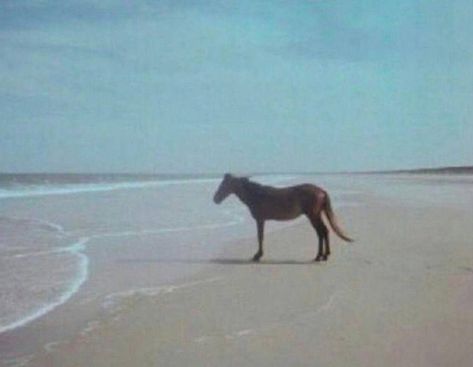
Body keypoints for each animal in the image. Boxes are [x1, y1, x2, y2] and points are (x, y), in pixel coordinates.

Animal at [212, 175, 352, 264]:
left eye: (224, 185)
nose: (215, 199)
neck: (256, 194)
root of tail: (321, 191)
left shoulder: (260, 219)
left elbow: (260, 237)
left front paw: (257, 255)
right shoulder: (262, 219)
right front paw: (258, 255)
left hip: (313, 215)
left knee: (321, 232)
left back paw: (319, 256)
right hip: (316, 215)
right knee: (324, 231)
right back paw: (324, 255)